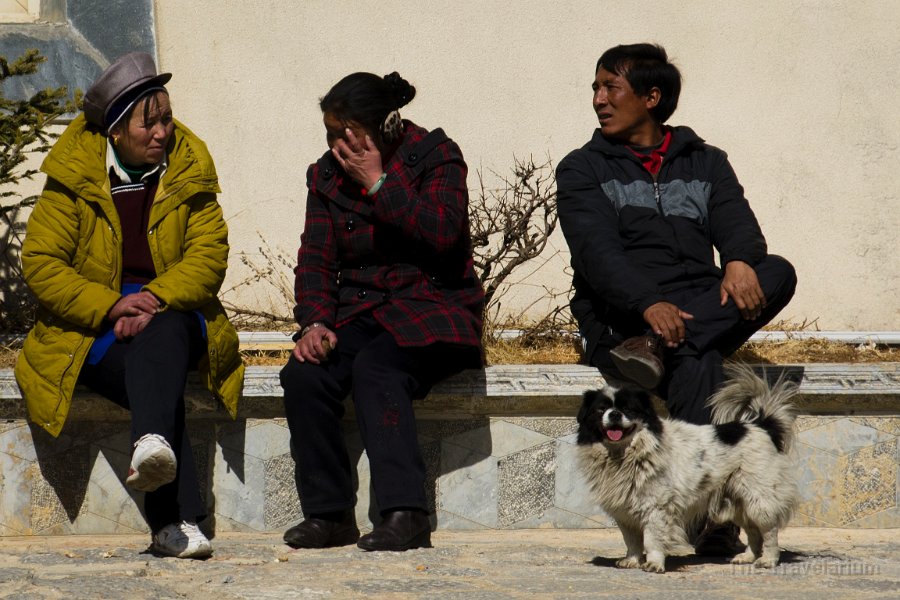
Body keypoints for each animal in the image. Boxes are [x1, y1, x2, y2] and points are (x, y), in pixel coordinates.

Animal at [576, 364, 796, 576]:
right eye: (600, 410)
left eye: (628, 409)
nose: (614, 414)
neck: (625, 454)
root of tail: (760, 425)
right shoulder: (624, 512)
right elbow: (632, 541)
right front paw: (632, 560)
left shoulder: (657, 508)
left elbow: (652, 539)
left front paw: (654, 564)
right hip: (738, 501)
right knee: (753, 531)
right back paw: (748, 557)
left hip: (759, 499)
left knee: (769, 531)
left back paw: (768, 560)